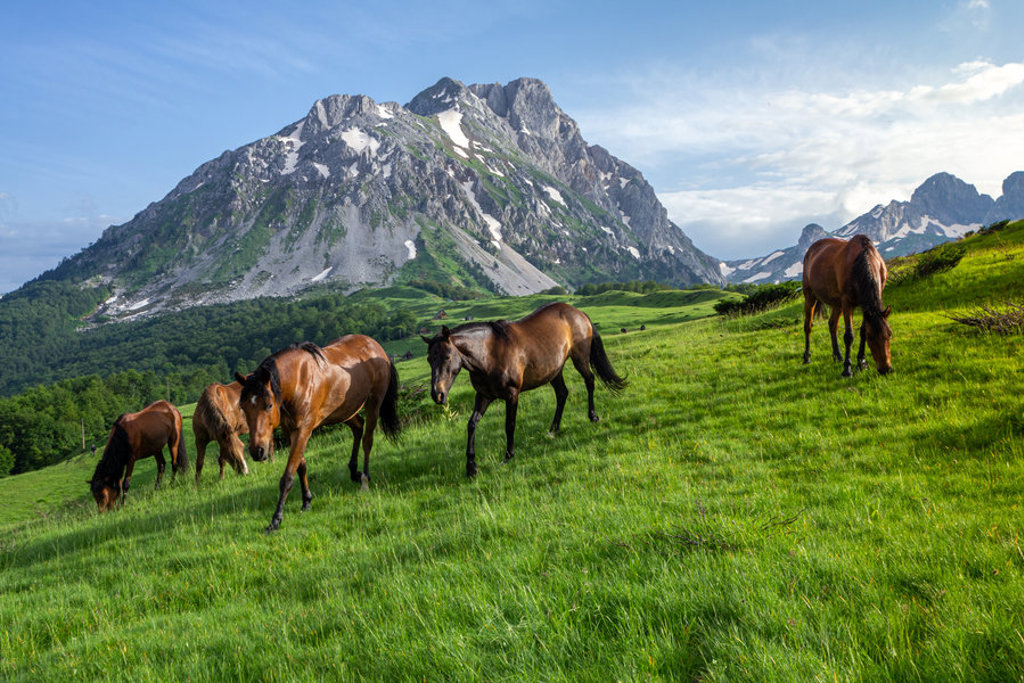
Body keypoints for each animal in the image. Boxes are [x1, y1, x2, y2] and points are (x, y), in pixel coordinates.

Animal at [235, 336, 401, 533]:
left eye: (268, 405)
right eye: (243, 407)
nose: (257, 451)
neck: (299, 380)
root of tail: (376, 346)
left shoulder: (303, 430)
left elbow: (288, 475)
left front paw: (275, 520)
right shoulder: (290, 430)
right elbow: (301, 466)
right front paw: (306, 501)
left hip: (373, 402)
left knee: (368, 440)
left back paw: (364, 480)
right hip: (344, 411)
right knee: (358, 427)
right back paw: (354, 472)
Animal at [422, 302, 626, 477]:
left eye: (447, 356)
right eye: (429, 359)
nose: (437, 394)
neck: (489, 353)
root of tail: (579, 313)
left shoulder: (512, 394)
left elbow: (509, 424)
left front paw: (508, 456)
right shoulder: (484, 395)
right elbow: (472, 424)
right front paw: (471, 466)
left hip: (580, 359)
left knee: (589, 381)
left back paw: (593, 416)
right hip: (554, 371)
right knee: (562, 394)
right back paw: (553, 429)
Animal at [802, 234, 893, 377]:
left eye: (889, 334)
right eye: (871, 338)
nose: (885, 369)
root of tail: (810, 251)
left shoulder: (863, 305)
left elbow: (862, 331)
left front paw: (862, 362)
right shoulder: (847, 302)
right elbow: (849, 336)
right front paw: (847, 369)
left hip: (837, 303)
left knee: (832, 324)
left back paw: (837, 356)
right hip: (810, 296)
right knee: (808, 326)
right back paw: (807, 357)